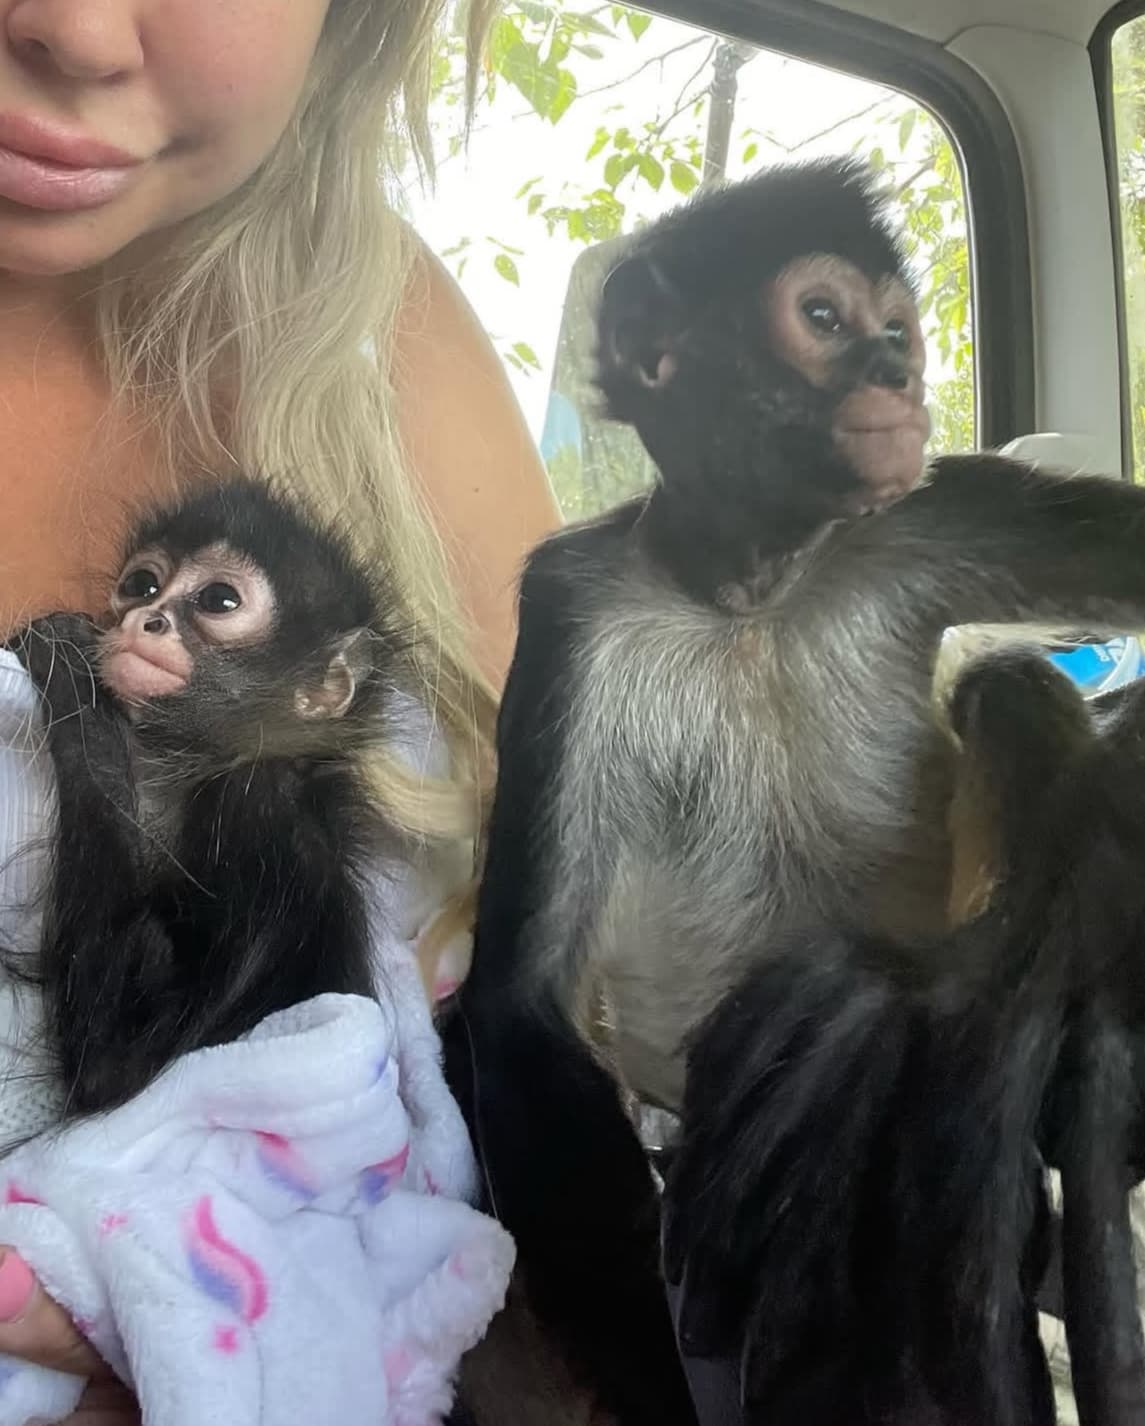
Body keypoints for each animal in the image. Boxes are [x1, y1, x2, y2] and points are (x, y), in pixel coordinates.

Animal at [4, 476, 412, 1116]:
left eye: (219, 600)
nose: (147, 619)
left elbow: (114, 1071)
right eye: (142, 586)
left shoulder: (251, 803)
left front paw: (68, 663)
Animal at [440, 156, 1145, 1424]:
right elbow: (516, 1007)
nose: (895, 374)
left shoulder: (922, 508)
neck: (751, 592)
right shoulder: (572, 606)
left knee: (1007, 683)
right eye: (821, 318)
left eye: (895, 332)